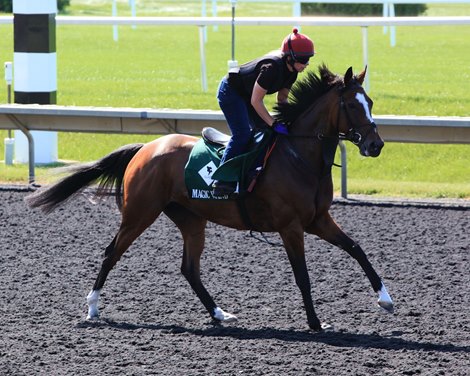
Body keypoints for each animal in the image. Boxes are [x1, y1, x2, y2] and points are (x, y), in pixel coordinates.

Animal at [25, 65, 392, 332]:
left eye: (371, 103)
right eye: (351, 105)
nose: (375, 145)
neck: (299, 156)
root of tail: (145, 148)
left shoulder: (317, 219)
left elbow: (357, 249)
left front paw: (385, 299)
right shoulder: (291, 226)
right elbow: (302, 275)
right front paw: (316, 323)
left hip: (190, 218)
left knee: (189, 269)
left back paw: (219, 314)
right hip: (140, 213)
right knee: (111, 253)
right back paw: (92, 308)